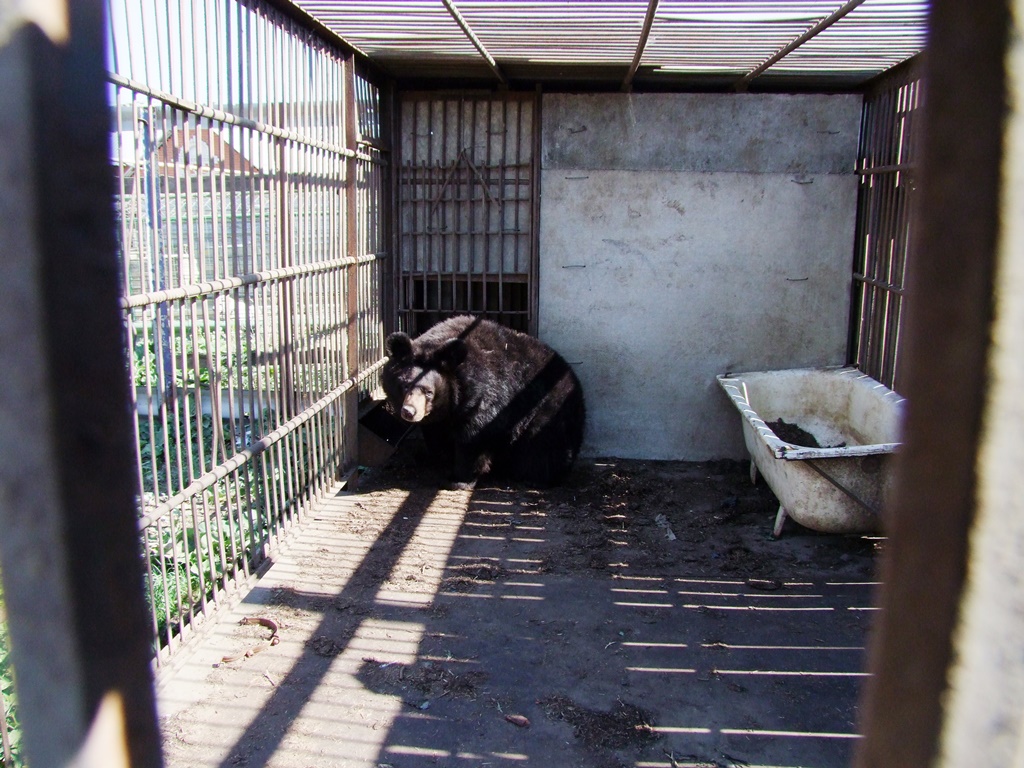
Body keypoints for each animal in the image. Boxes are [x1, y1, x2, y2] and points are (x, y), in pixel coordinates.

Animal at [380, 315, 585, 489]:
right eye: (404, 385)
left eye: (429, 392)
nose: (409, 411)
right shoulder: (442, 417)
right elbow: (436, 433)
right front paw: (439, 459)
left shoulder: (484, 400)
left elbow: (472, 438)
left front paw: (459, 479)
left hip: (547, 409)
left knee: (544, 443)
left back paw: (536, 476)